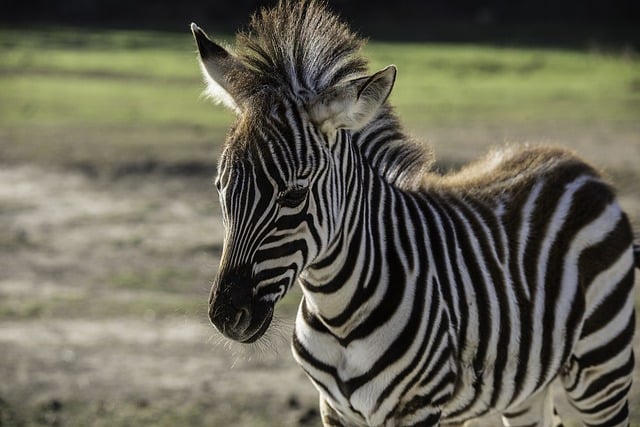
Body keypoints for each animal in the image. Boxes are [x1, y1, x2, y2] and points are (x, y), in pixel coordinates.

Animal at [190, 1, 640, 426]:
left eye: (295, 193)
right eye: (221, 187)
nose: (227, 315)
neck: (337, 312)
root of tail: (578, 163)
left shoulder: (418, 406)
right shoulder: (332, 407)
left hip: (602, 368)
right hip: (526, 386)